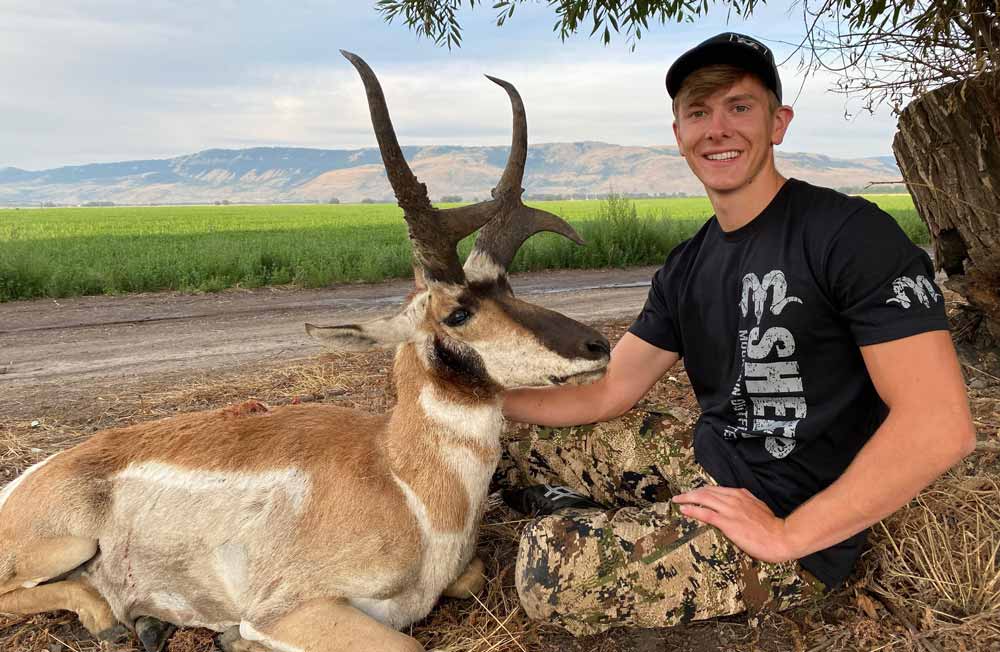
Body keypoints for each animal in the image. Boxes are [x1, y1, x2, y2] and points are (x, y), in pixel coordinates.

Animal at [0, 52, 610, 652]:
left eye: (507, 287)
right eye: (457, 312)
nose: (598, 345)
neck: (399, 476)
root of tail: (25, 480)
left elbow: (470, 575)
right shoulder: (291, 610)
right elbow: (406, 643)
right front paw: (235, 637)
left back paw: (148, 624)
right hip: (66, 545)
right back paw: (111, 620)